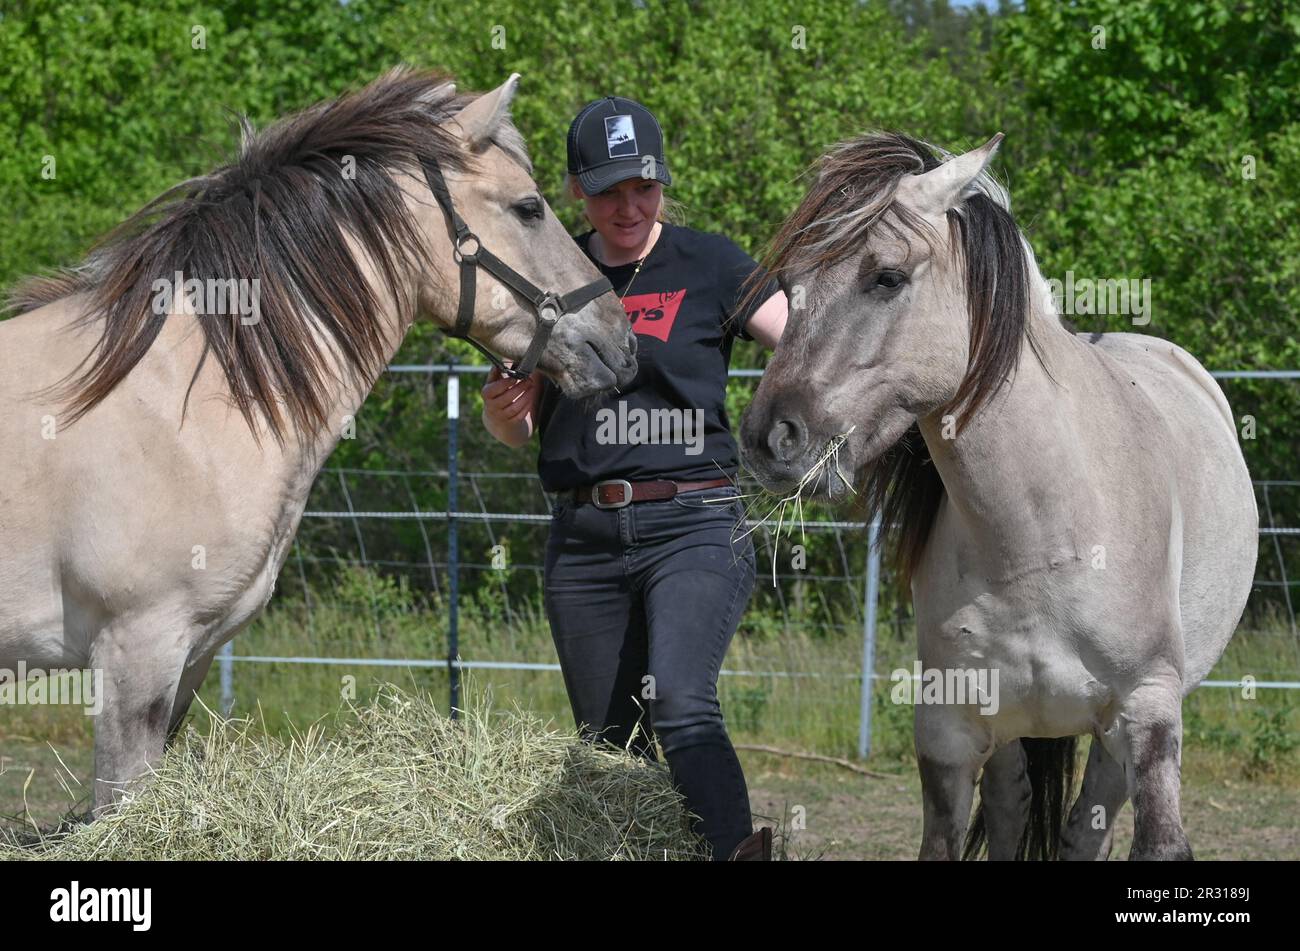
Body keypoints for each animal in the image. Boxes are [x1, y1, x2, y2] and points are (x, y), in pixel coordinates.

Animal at [739, 132, 1257, 860]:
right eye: (790, 286)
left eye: (886, 276)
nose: (769, 437)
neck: (1041, 536)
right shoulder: (949, 733)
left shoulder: (1148, 711)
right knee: (1015, 807)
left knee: (1084, 823)